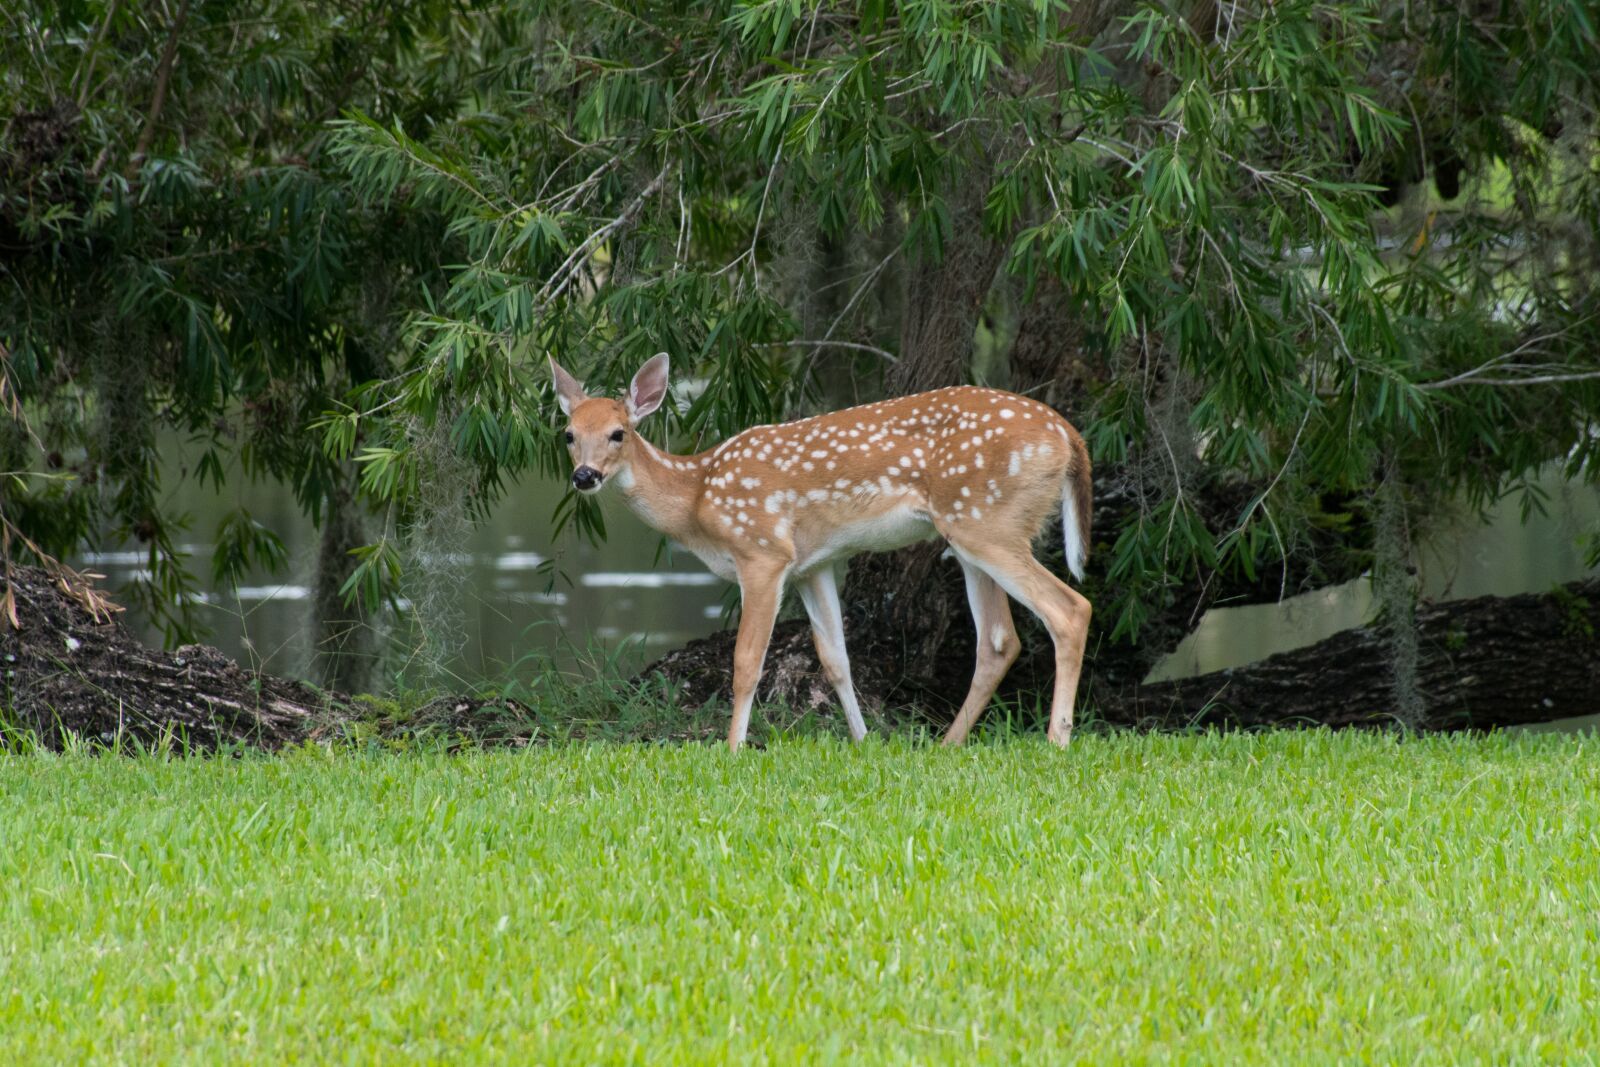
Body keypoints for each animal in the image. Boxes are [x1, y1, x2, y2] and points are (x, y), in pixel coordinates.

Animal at [549, 353, 1092, 753]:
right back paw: (948, 745)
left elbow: (747, 661)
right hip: (971, 533)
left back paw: (1057, 740)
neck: (698, 497)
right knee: (999, 639)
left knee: (1070, 609)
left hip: (987, 522)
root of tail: (1070, 435)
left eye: (618, 433)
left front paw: (733, 748)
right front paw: (863, 741)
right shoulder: (814, 565)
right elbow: (835, 659)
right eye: (569, 434)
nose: (585, 476)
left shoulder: (763, 552)